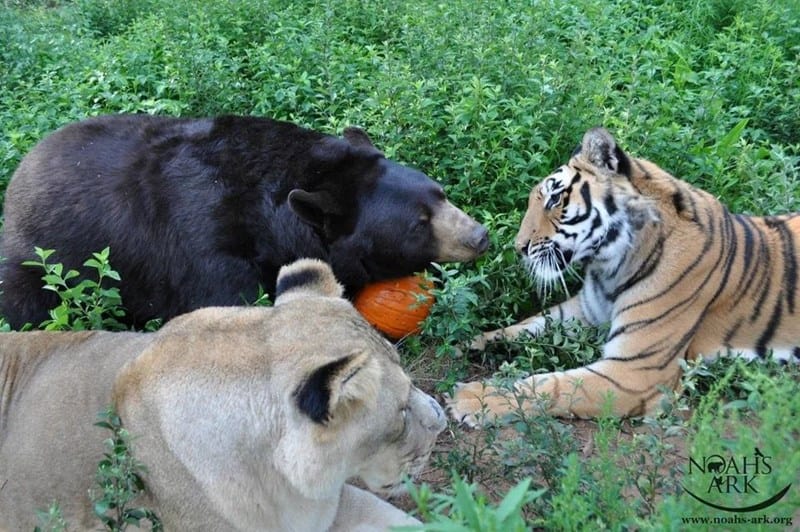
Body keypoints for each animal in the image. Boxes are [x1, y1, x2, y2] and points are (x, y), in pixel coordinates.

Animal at [0, 114, 488, 328]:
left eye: (440, 193)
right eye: (418, 223)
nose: (479, 236)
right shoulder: (205, 244)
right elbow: (228, 304)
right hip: (39, 264)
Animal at [447, 127, 800, 424]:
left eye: (555, 198)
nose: (518, 248)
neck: (609, 266)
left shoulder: (636, 372)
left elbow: (553, 385)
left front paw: (473, 399)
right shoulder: (584, 311)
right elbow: (523, 326)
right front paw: (465, 341)